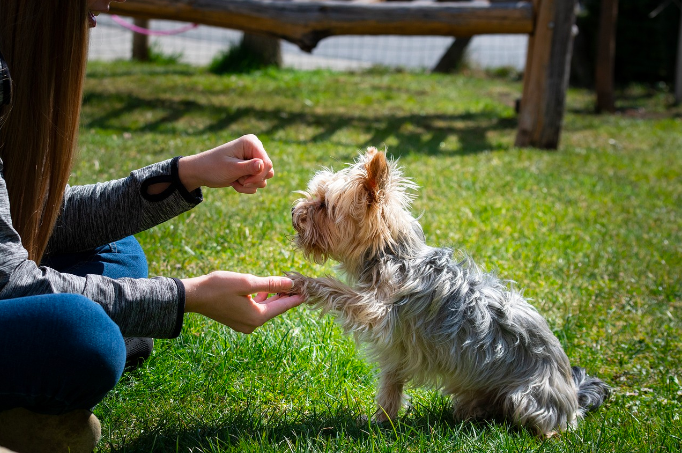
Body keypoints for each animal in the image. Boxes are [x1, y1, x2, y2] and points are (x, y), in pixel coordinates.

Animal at [290, 146, 608, 434]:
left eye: (323, 205)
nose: (294, 211)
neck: (392, 254)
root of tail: (573, 397)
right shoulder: (397, 349)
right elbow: (391, 385)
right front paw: (381, 421)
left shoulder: (377, 310)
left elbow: (340, 292)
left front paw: (303, 281)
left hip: (527, 398)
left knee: (547, 426)